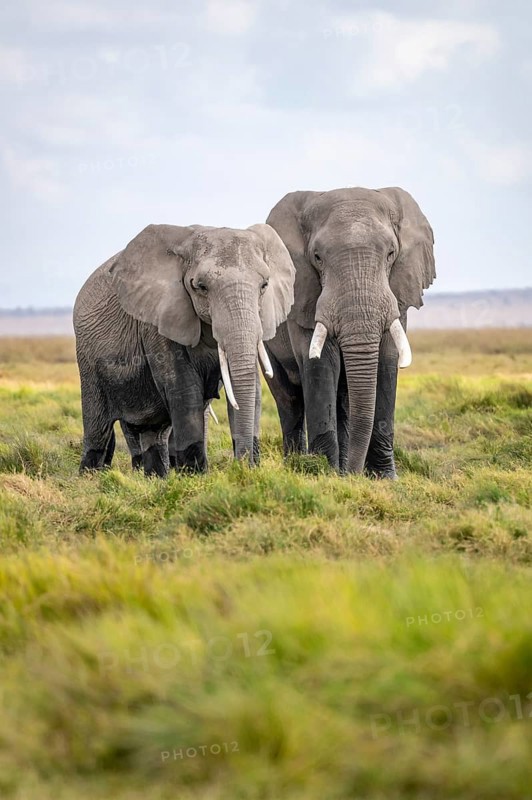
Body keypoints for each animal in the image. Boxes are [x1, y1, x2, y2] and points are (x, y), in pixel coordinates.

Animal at [73, 223, 295, 476]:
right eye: (201, 287)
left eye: (264, 285)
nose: (241, 468)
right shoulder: (158, 318)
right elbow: (184, 387)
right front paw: (195, 476)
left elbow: (253, 387)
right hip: (88, 362)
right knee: (98, 428)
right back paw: (90, 477)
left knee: (152, 431)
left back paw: (155, 478)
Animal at [263, 187, 435, 477]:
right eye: (317, 257)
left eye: (391, 253)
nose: (354, 474)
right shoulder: (305, 298)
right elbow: (320, 363)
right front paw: (322, 472)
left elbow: (386, 362)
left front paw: (384, 478)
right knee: (289, 399)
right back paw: (299, 465)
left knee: (342, 400)